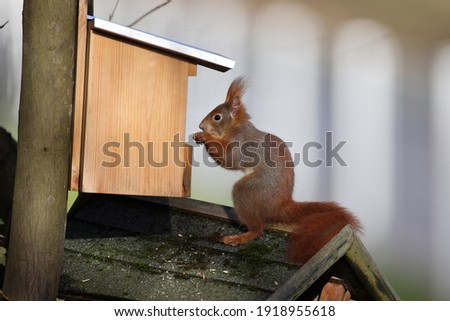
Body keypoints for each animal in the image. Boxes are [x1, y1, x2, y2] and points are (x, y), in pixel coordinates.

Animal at [193, 77, 362, 262]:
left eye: (217, 117)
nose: (201, 126)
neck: (235, 128)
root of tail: (280, 205)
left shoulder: (242, 144)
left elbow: (230, 159)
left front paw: (205, 136)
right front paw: (198, 135)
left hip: (249, 191)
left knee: (257, 228)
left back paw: (240, 237)